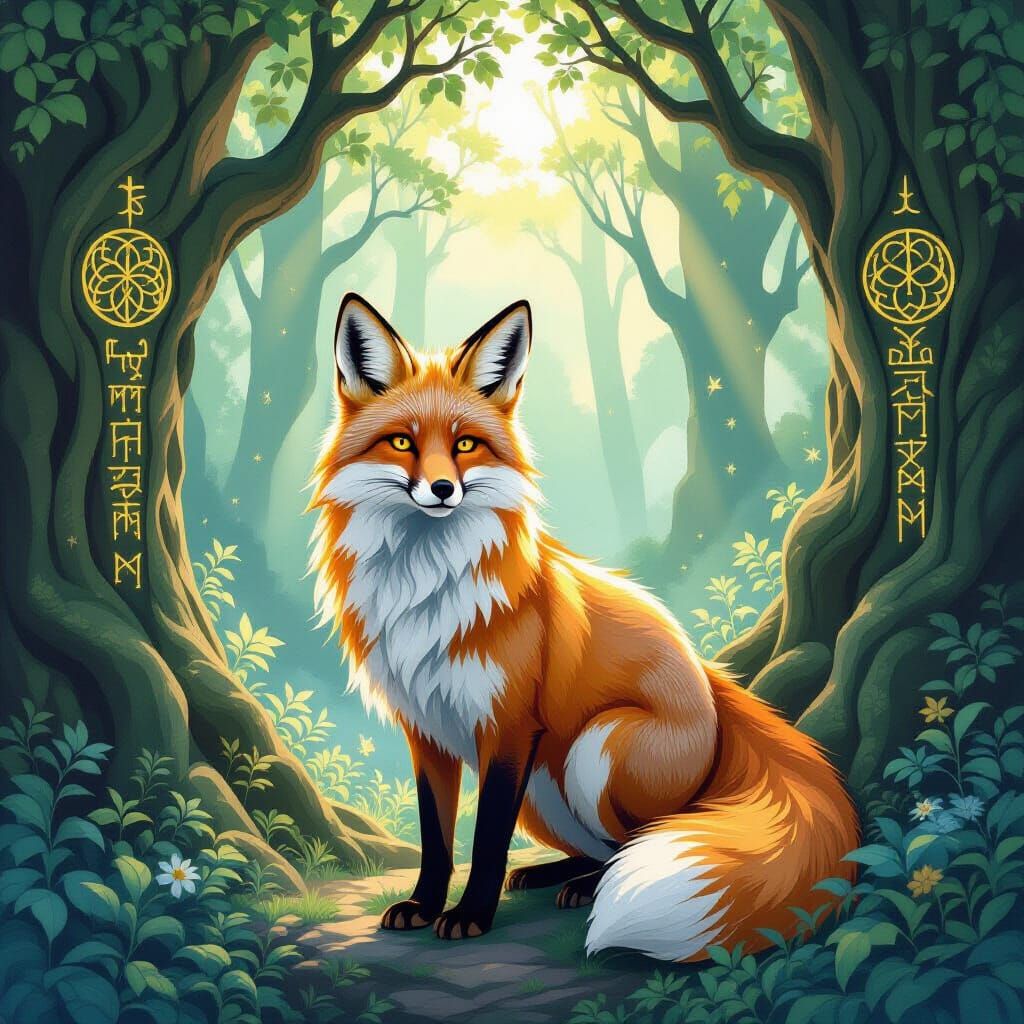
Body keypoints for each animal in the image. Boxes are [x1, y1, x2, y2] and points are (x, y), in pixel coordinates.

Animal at [307, 293, 859, 961]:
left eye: (465, 445)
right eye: (400, 442)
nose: (441, 489)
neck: (425, 589)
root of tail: (713, 689)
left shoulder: (510, 727)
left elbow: (485, 840)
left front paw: (471, 916)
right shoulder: (427, 730)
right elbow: (436, 837)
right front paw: (424, 905)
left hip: (597, 746)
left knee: (637, 842)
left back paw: (588, 887)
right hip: (546, 790)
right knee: (599, 847)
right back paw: (553, 873)